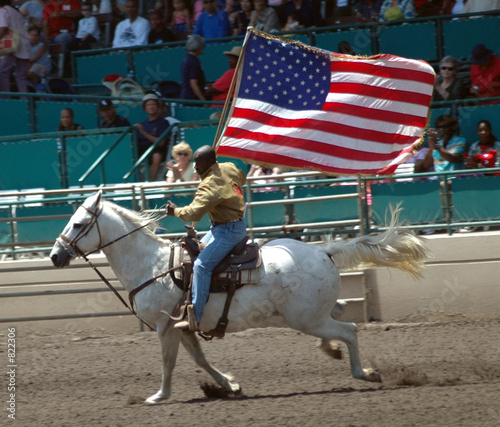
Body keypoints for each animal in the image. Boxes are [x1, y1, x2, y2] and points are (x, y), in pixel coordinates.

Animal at [48, 192, 428, 406]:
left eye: (78, 223)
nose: (55, 256)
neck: (152, 265)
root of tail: (324, 251)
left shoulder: (164, 326)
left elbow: (168, 363)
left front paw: (159, 396)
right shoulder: (184, 326)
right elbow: (200, 360)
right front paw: (229, 385)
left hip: (306, 319)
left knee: (349, 330)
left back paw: (364, 373)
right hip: (309, 317)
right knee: (340, 318)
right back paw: (334, 351)